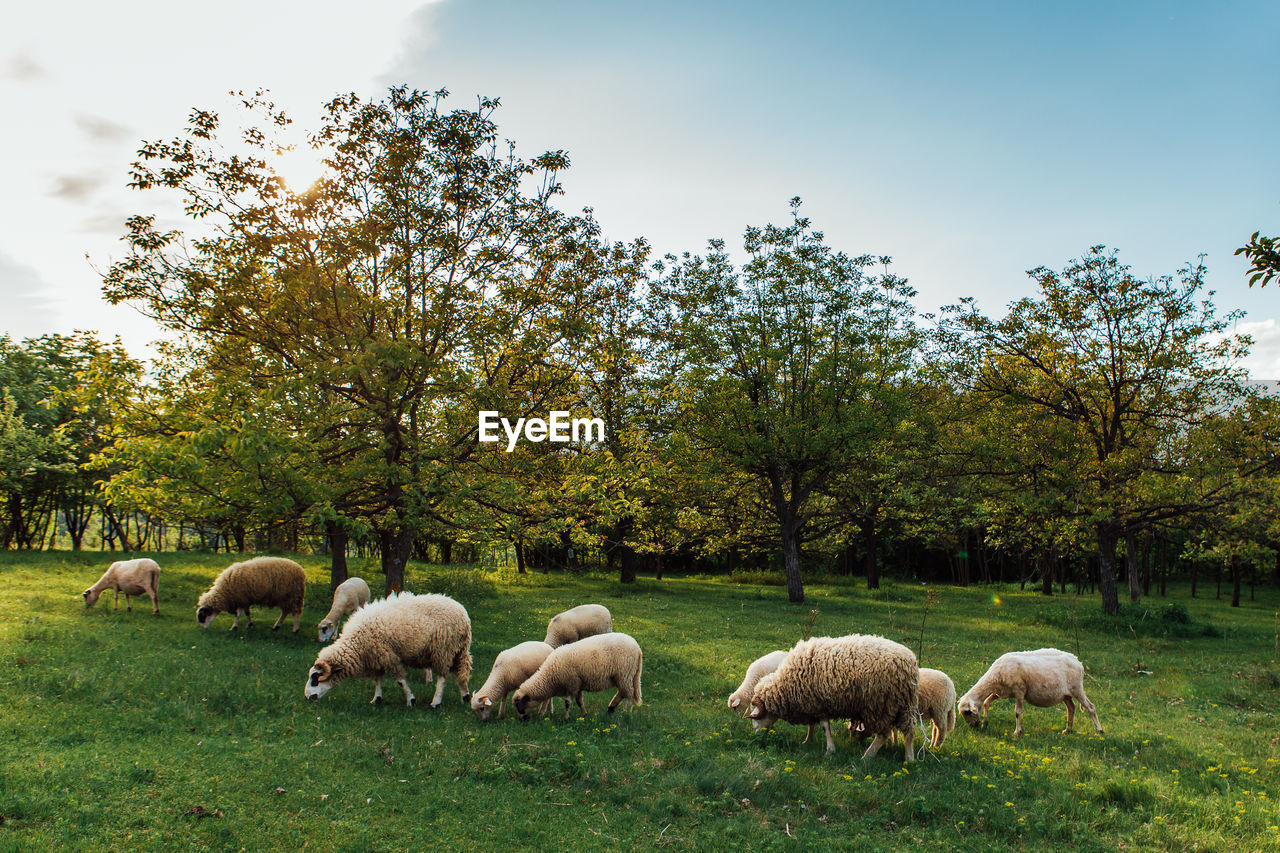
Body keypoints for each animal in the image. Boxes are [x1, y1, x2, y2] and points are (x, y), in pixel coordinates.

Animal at [303, 591, 471, 701]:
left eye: (315, 678)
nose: (307, 696)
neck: (356, 643)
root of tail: (462, 612)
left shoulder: (388, 656)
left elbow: (400, 681)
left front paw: (410, 699)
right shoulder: (377, 657)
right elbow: (378, 679)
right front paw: (377, 699)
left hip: (443, 650)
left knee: (442, 678)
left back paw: (436, 702)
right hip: (459, 650)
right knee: (461, 672)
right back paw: (465, 696)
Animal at [512, 630, 645, 717]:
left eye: (519, 705)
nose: (521, 720)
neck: (550, 676)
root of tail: (637, 648)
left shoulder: (572, 684)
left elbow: (567, 703)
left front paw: (566, 718)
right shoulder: (578, 685)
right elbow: (579, 701)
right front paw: (584, 714)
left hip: (624, 674)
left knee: (629, 694)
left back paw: (626, 712)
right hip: (623, 676)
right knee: (622, 692)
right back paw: (611, 708)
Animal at [747, 630, 921, 758]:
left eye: (756, 717)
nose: (756, 736)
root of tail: (910, 662)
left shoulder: (819, 704)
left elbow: (825, 727)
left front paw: (830, 750)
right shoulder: (812, 703)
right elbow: (812, 724)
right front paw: (808, 741)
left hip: (881, 704)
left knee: (883, 734)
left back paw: (867, 756)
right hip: (902, 703)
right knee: (909, 729)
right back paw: (909, 759)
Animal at [962, 645, 1100, 732]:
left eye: (967, 712)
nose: (974, 727)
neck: (995, 677)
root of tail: (1077, 661)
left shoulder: (1019, 691)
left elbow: (1017, 712)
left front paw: (1017, 732)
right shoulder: (1000, 692)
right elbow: (986, 702)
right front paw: (985, 723)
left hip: (1077, 688)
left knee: (1090, 707)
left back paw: (1099, 730)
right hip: (1065, 694)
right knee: (1071, 708)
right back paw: (1068, 730)